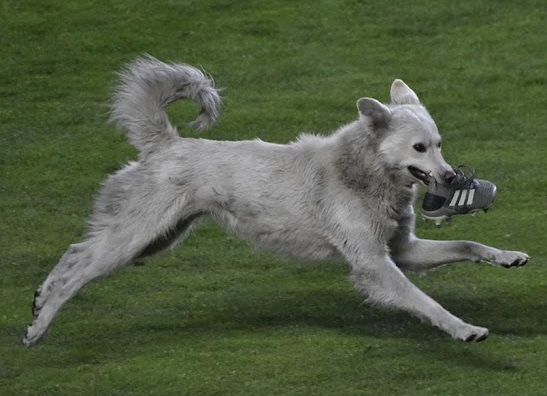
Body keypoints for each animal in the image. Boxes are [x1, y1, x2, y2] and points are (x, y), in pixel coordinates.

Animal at [22, 55, 532, 346]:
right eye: (419, 148)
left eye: (439, 144)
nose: (450, 177)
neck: (361, 172)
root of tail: (166, 143)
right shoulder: (375, 265)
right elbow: (426, 303)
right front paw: (465, 330)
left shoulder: (402, 251)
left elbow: (468, 246)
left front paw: (508, 256)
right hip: (135, 238)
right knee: (79, 267)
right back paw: (38, 325)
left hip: (154, 240)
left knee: (77, 252)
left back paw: (39, 299)